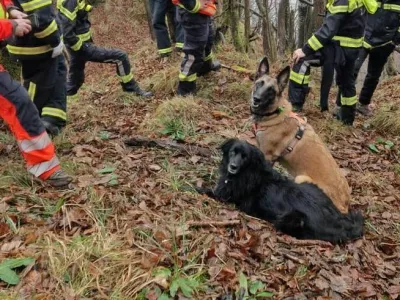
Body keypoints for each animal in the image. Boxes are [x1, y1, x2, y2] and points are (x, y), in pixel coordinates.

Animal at [198, 138, 364, 244]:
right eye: (233, 152)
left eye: (245, 157)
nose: (233, 166)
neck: (249, 171)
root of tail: (339, 221)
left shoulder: (226, 196)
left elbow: (206, 190)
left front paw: (194, 186)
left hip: (293, 218)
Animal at [250, 57, 350, 214]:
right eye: (259, 83)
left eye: (271, 91)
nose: (256, 99)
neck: (275, 113)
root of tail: (344, 207)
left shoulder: (268, 155)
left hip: (301, 178)